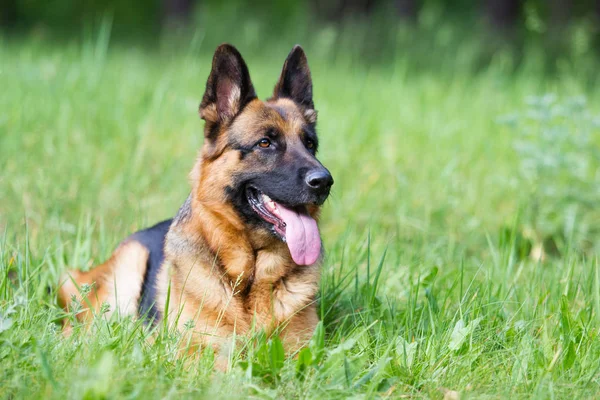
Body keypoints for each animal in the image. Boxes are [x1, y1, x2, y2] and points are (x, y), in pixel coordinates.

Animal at [57, 43, 332, 366]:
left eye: (310, 144)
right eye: (265, 143)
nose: (324, 182)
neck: (249, 278)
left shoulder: (305, 354)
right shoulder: (193, 352)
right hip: (121, 282)